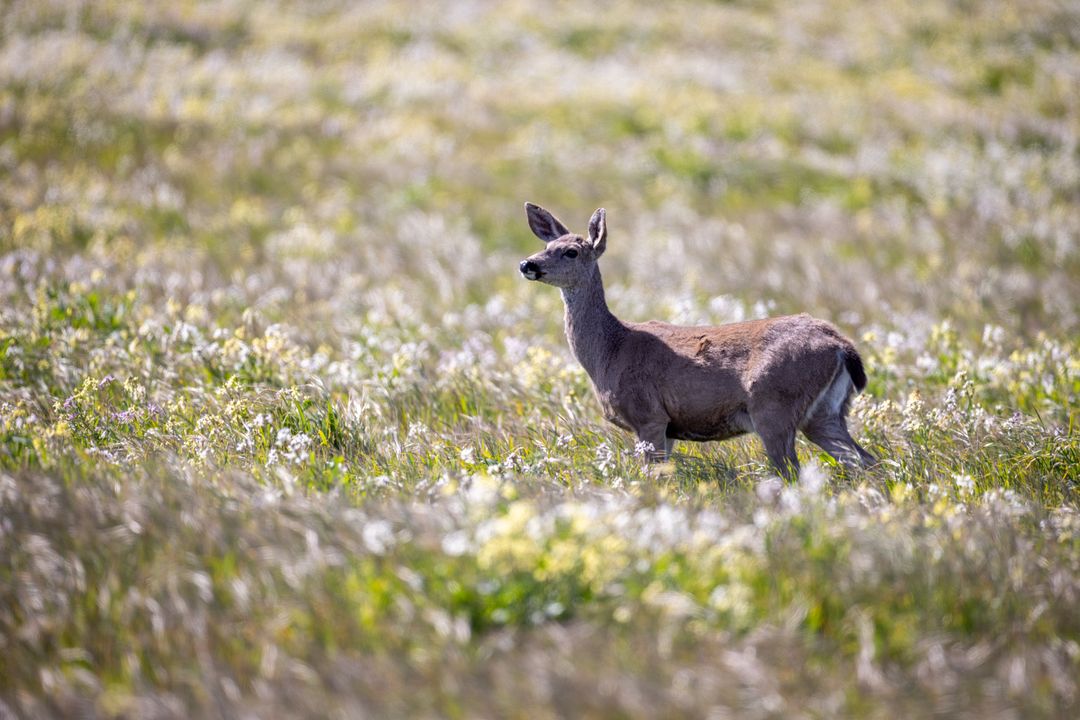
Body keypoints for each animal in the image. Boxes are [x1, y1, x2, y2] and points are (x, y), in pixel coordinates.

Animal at [518, 202, 877, 479]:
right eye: (546, 247)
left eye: (571, 251)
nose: (527, 263)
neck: (610, 351)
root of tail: (842, 347)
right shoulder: (665, 426)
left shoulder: (648, 414)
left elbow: (653, 478)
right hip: (825, 413)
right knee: (866, 460)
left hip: (775, 404)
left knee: (793, 472)